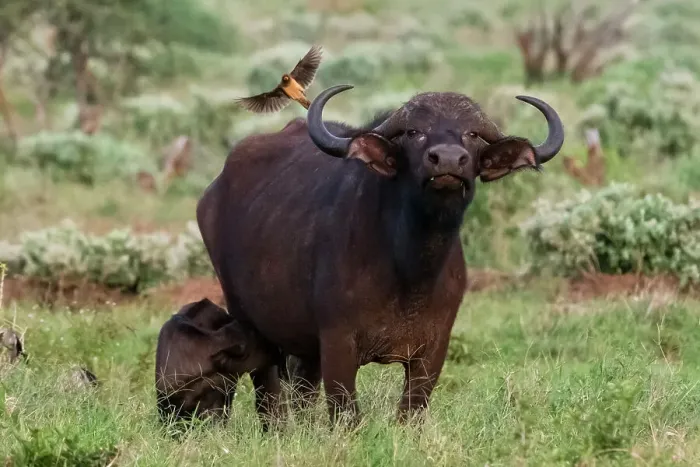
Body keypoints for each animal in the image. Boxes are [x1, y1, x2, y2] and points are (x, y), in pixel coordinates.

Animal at [196, 84, 564, 426]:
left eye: (471, 134)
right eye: (415, 132)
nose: (447, 160)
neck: (411, 270)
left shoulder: (432, 351)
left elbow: (411, 412)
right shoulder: (338, 345)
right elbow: (346, 415)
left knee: (302, 391)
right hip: (248, 321)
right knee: (269, 394)